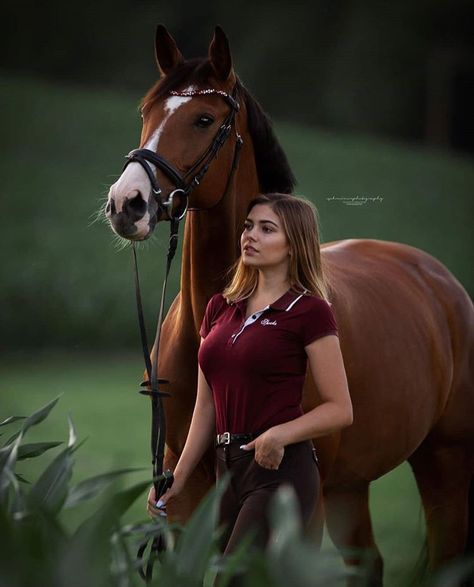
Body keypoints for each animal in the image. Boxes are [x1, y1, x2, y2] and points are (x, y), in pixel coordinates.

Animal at [106, 25, 474, 584]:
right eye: (146, 112)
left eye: (204, 119)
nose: (126, 204)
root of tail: (439, 281)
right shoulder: (182, 502)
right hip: (348, 488)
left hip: (444, 465)